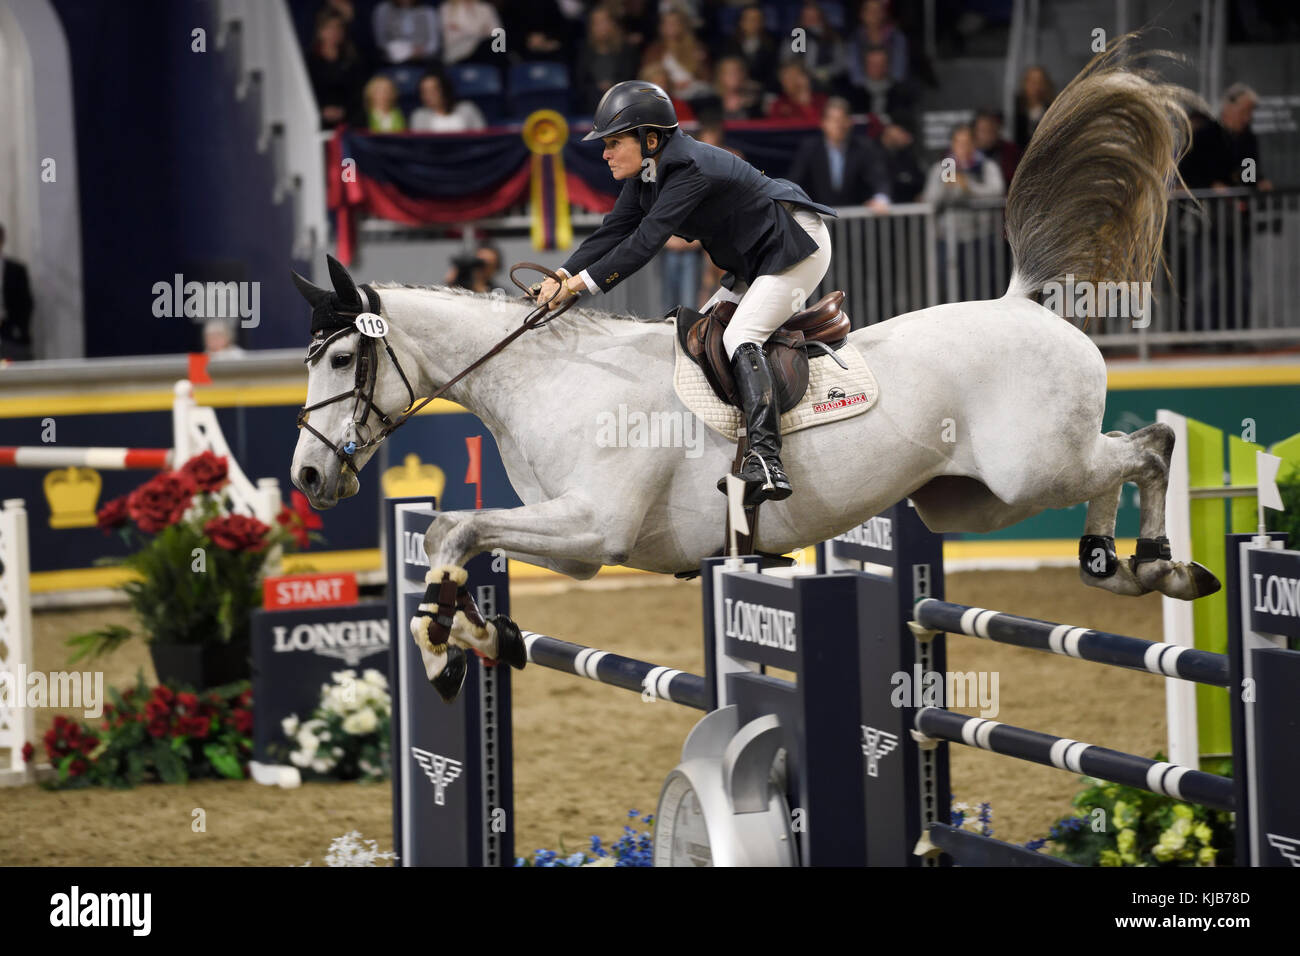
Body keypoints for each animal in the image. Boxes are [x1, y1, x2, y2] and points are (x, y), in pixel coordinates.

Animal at [289, 44, 1211, 686]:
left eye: (344, 357)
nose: (304, 477)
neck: (551, 383)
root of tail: (1024, 304)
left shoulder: (593, 528)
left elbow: (461, 526)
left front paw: (451, 644)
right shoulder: (571, 537)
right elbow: (449, 530)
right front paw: (470, 638)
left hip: (1034, 469)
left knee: (1146, 446)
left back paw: (1160, 560)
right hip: (974, 500)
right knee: (1112, 465)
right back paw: (1113, 564)